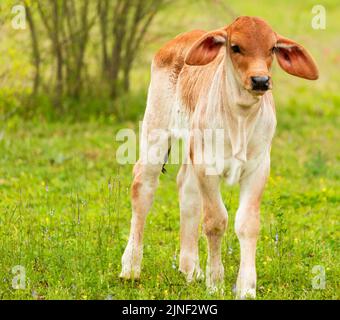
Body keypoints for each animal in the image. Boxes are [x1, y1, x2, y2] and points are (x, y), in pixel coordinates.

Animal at [119, 16, 318, 298]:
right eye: (235, 47)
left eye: (272, 48)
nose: (260, 80)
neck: (240, 118)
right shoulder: (207, 166)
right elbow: (215, 222)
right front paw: (215, 283)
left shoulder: (258, 169)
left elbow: (247, 224)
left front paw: (246, 288)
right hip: (155, 131)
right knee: (143, 187)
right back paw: (131, 267)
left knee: (187, 190)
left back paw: (190, 269)